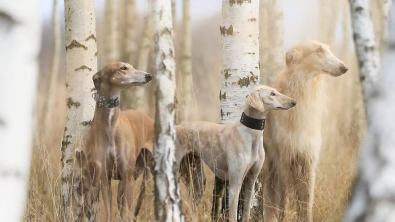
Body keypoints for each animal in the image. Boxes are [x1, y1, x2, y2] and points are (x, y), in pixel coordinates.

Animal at [86, 62, 154, 220]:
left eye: (131, 66)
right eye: (123, 68)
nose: (149, 76)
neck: (111, 126)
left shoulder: (127, 177)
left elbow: (127, 214)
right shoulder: (104, 178)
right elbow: (110, 213)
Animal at [177, 85, 296, 222]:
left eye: (276, 91)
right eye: (272, 94)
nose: (294, 102)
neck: (251, 134)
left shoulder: (251, 181)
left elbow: (246, 213)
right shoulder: (234, 186)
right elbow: (233, 216)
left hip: (198, 183)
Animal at [262, 39, 350, 221]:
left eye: (327, 48)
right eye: (318, 50)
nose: (344, 68)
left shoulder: (308, 158)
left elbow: (306, 202)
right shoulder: (284, 157)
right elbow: (283, 201)